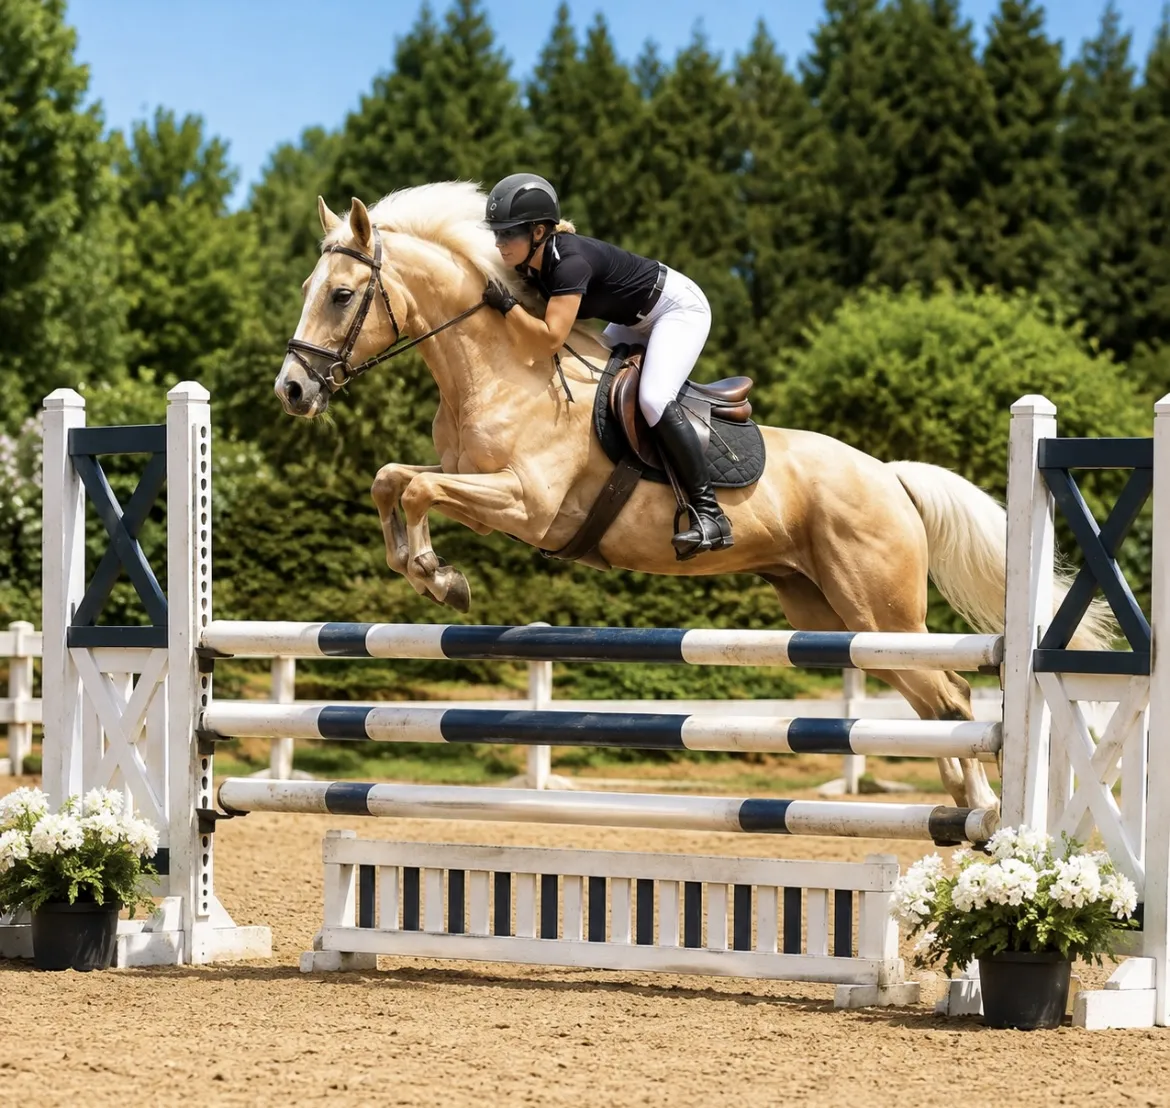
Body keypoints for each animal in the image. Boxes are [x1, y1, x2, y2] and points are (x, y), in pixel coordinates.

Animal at [274, 180, 1110, 813]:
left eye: (342, 295)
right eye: (309, 290)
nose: (291, 391)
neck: (501, 369)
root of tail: (888, 474)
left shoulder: (526, 504)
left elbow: (415, 484)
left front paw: (439, 576)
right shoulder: (484, 492)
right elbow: (392, 478)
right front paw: (423, 568)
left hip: (881, 612)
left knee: (955, 699)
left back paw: (981, 819)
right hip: (830, 613)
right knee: (933, 703)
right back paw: (966, 811)